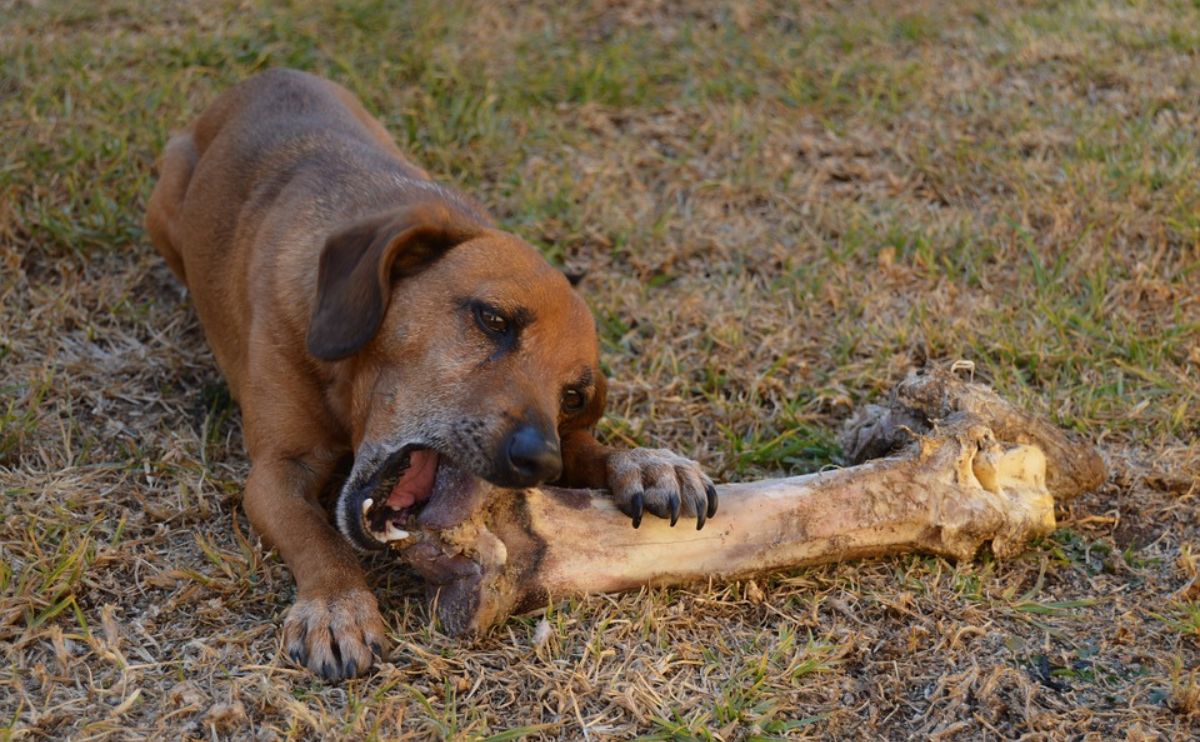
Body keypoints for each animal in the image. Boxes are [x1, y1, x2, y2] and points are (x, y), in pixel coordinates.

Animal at [146, 70, 715, 681]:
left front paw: (645, 463)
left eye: (572, 396)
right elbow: (318, 537)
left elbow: (591, 449)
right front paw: (337, 605)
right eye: (493, 319)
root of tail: (266, 76)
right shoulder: (275, 472)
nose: (542, 462)